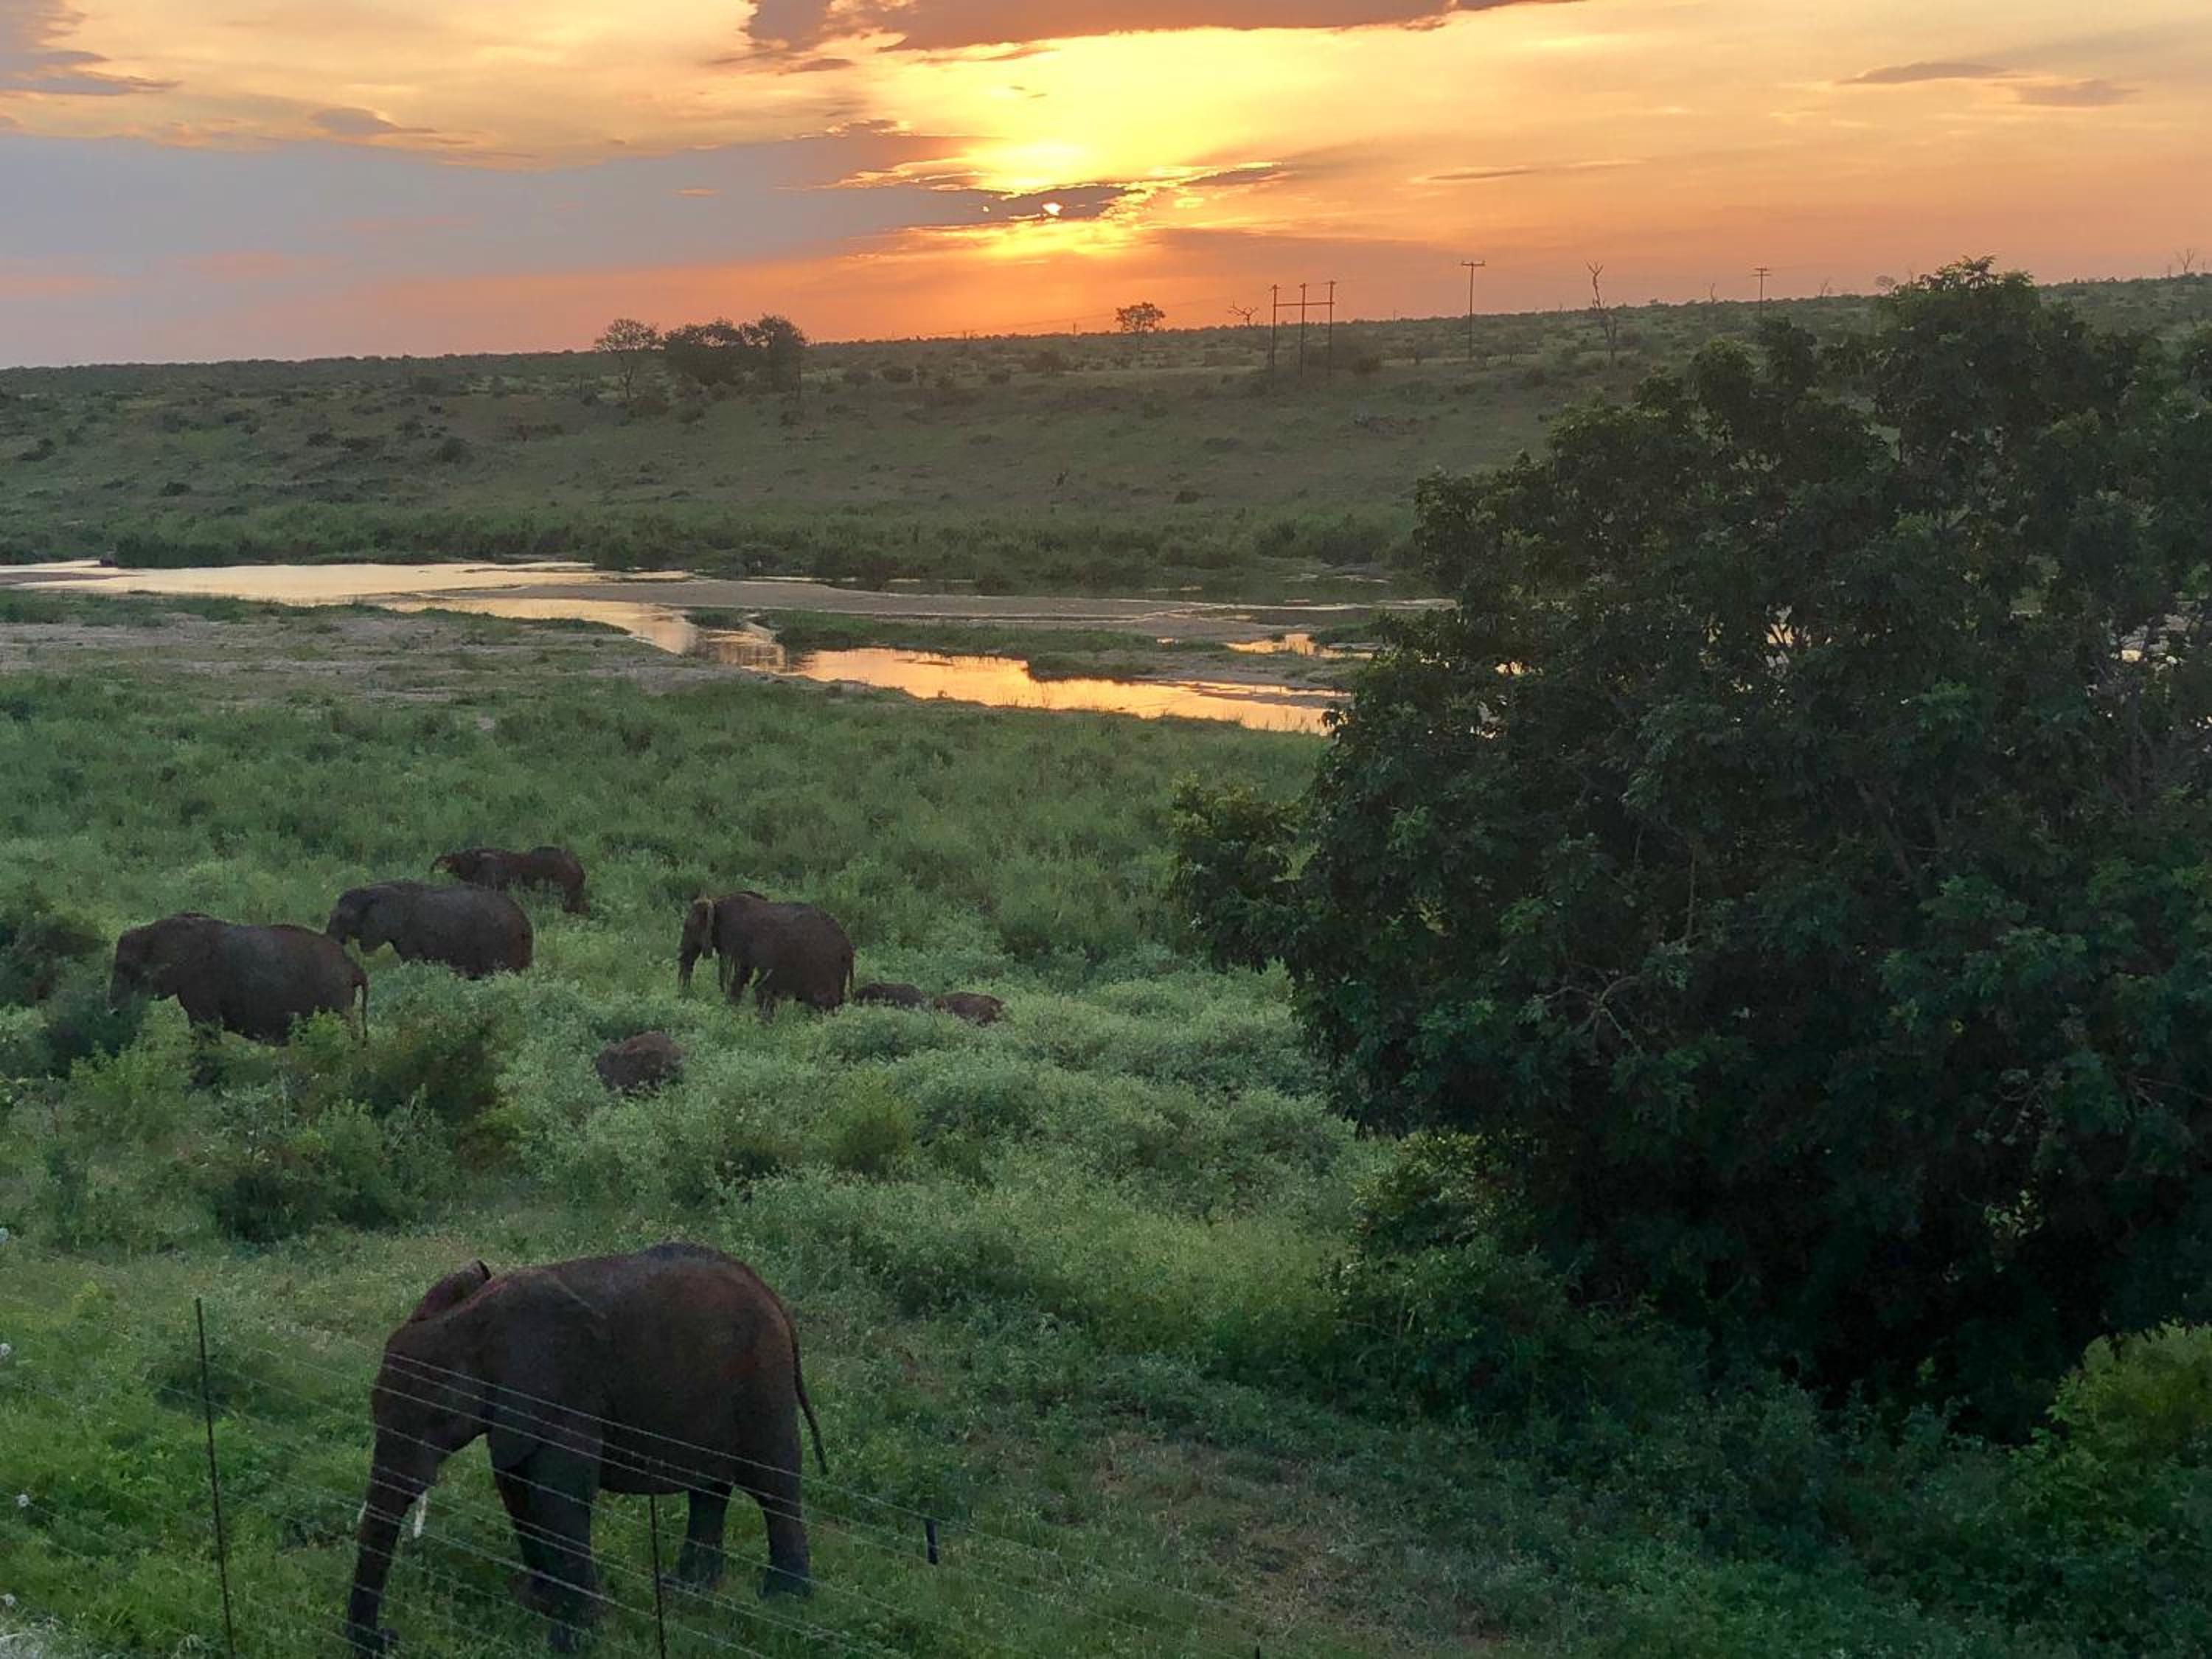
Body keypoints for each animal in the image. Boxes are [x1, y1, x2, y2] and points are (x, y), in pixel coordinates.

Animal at [109, 913, 367, 1043]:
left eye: (124, 967)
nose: (115, 1014)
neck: (154, 929)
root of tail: (354, 966)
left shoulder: (200, 982)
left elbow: (206, 1029)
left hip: (335, 997)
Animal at [328, 881, 532, 978]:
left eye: (343, 917)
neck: (372, 889)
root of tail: (525, 925)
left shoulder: (408, 934)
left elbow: (412, 960)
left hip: (499, 942)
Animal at [346, 1242, 826, 1656]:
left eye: (438, 1416)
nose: (389, 1637)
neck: (476, 1321)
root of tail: (772, 1296)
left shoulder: (567, 1396)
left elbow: (558, 1496)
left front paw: (571, 1642)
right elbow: (515, 1486)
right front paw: (538, 1602)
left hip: (764, 1379)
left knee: (774, 1484)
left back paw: (784, 1599)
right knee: (710, 1487)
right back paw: (687, 1589)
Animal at [678, 892, 853, 1017]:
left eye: (688, 927)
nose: (683, 996)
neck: (717, 901)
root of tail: (848, 948)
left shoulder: (735, 940)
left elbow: (736, 974)